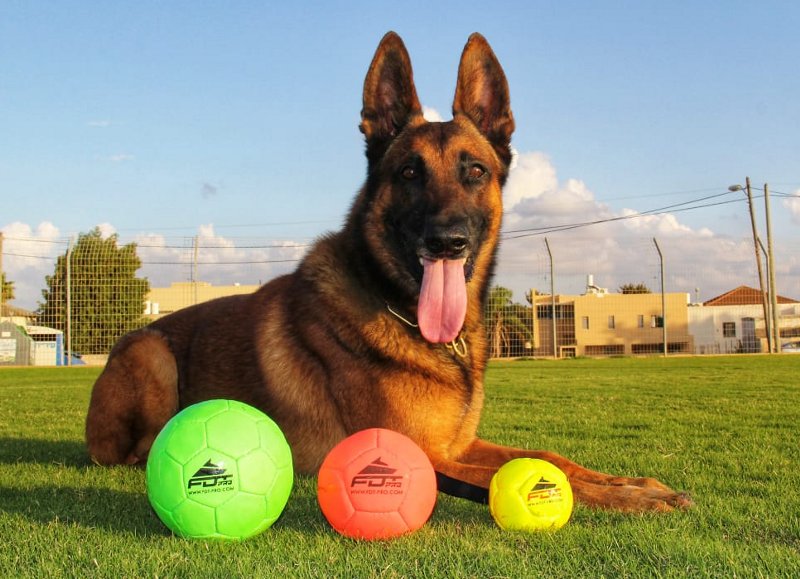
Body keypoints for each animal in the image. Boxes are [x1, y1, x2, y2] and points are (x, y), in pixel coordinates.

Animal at [86, 31, 688, 512]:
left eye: (475, 171)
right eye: (408, 173)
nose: (447, 241)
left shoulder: (456, 446)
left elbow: (548, 456)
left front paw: (632, 484)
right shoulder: (425, 454)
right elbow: (530, 476)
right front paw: (625, 498)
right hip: (151, 354)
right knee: (130, 451)